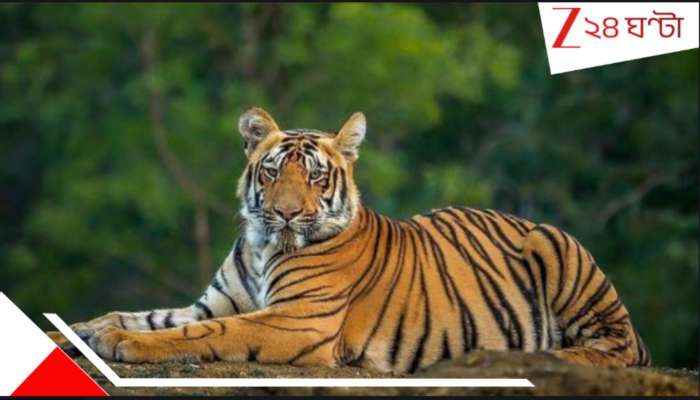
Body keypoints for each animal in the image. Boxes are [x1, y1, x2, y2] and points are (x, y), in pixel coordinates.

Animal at [49, 107, 650, 373]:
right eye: (273, 171)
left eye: (315, 177)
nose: (286, 214)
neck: (263, 246)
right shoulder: (213, 302)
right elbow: (140, 315)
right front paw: (80, 330)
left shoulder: (297, 321)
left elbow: (203, 333)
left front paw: (124, 345)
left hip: (558, 250)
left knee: (617, 349)